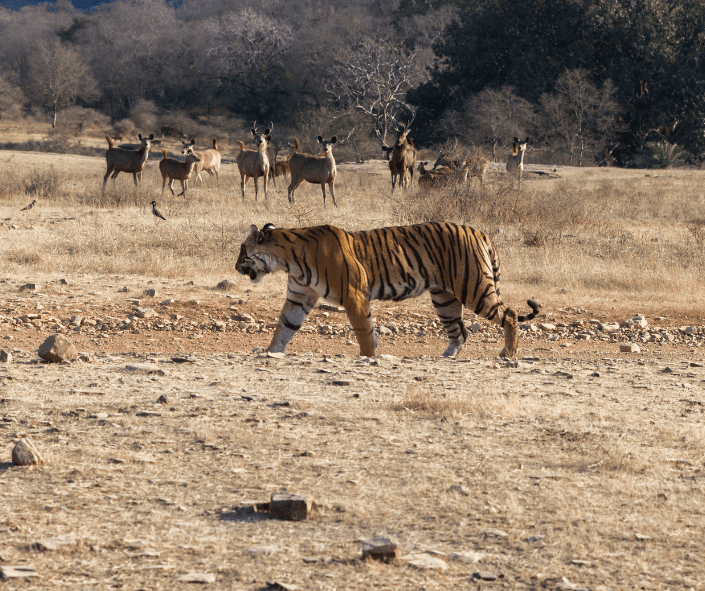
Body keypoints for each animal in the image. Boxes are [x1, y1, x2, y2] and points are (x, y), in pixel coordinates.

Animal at [236, 222, 540, 358]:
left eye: (242, 251)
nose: (236, 266)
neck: (289, 260)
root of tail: (479, 231)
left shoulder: (355, 295)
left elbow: (364, 332)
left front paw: (369, 357)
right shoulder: (298, 298)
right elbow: (284, 327)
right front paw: (270, 352)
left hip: (474, 288)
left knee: (510, 314)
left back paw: (508, 354)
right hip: (445, 298)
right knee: (460, 332)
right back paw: (446, 356)